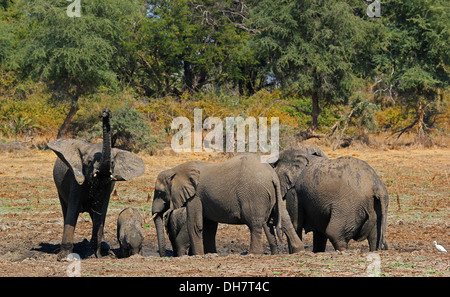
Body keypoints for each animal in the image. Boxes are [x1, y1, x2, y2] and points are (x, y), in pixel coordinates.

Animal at [47, 108, 143, 260]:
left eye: (112, 163)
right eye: (89, 161)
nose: (106, 112)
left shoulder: (107, 186)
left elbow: (100, 212)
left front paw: (95, 255)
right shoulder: (76, 180)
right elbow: (72, 210)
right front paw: (64, 258)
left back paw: (104, 246)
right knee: (65, 209)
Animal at [150, 154, 302, 256]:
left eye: (160, 192)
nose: (163, 256)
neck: (175, 170)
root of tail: (272, 175)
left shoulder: (195, 196)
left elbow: (195, 224)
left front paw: (197, 255)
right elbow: (209, 227)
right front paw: (211, 254)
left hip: (254, 194)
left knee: (254, 224)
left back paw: (254, 254)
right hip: (273, 193)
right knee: (284, 218)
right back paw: (298, 250)